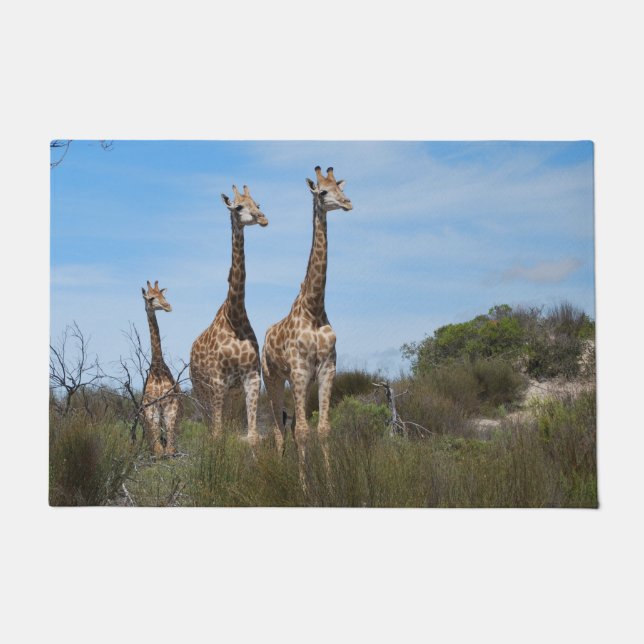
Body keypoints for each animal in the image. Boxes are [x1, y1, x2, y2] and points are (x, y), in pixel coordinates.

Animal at [190, 185, 268, 444]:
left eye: (258, 204)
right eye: (238, 207)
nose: (262, 218)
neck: (235, 316)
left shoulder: (252, 377)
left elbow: (252, 436)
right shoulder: (217, 381)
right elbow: (217, 435)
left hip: (231, 396)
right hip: (201, 391)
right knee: (210, 428)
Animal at [262, 166, 352, 477]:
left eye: (340, 187)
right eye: (322, 192)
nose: (348, 203)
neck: (313, 309)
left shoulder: (326, 368)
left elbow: (322, 429)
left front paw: (329, 480)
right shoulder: (299, 370)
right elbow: (302, 431)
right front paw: (304, 483)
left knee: (287, 427)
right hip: (273, 378)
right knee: (278, 430)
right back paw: (278, 471)